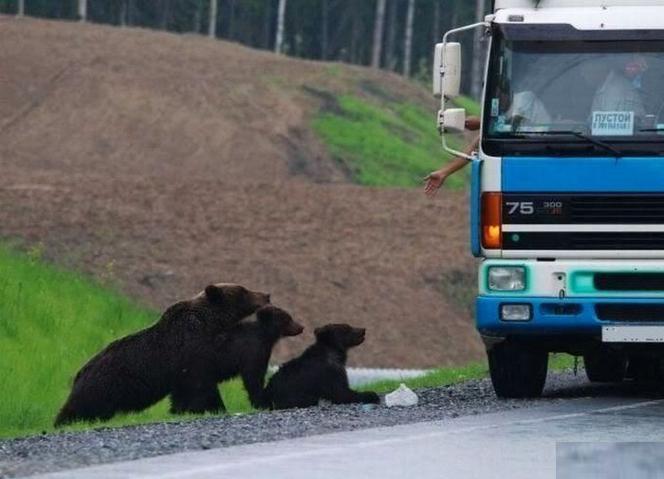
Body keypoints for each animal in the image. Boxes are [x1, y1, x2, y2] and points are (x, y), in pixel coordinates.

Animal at [53, 284, 268, 426]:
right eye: (243, 290)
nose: (267, 294)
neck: (209, 324)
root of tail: (79, 373)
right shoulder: (191, 353)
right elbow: (199, 387)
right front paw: (212, 408)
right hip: (103, 387)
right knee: (78, 408)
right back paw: (63, 422)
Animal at [171, 306, 306, 414]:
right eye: (288, 318)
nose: (301, 327)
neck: (266, 336)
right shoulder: (253, 350)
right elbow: (253, 376)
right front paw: (261, 403)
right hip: (199, 369)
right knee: (201, 390)